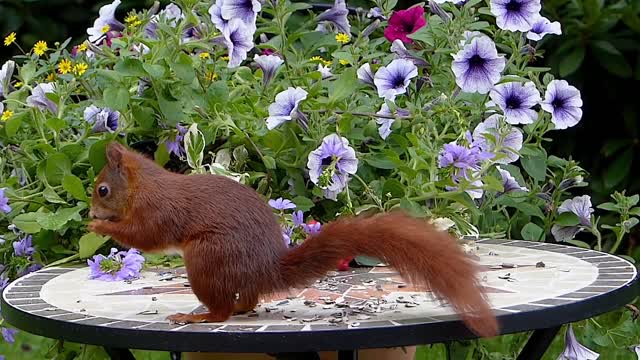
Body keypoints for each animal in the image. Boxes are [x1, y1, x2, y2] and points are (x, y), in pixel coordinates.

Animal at [89, 141, 500, 338]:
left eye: (103, 190)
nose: (91, 211)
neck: (144, 186)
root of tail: (265, 268)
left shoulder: (158, 212)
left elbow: (145, 236)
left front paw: (100, 228)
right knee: (247, 301)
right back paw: (236, 308)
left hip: (206, 258)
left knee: (222, 309)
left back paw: (199, 315)